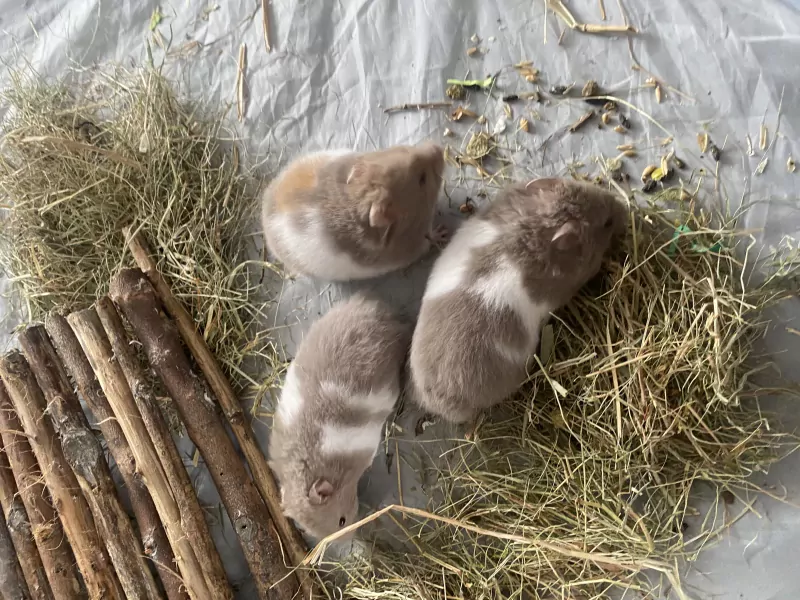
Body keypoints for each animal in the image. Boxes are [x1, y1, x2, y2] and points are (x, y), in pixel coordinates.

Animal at [261, 143, 448, 281]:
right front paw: (442, 233)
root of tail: (264, 219)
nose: (439, 146)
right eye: (422, 179)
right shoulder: (414, 246)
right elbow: (428, 239)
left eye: (404, 148)